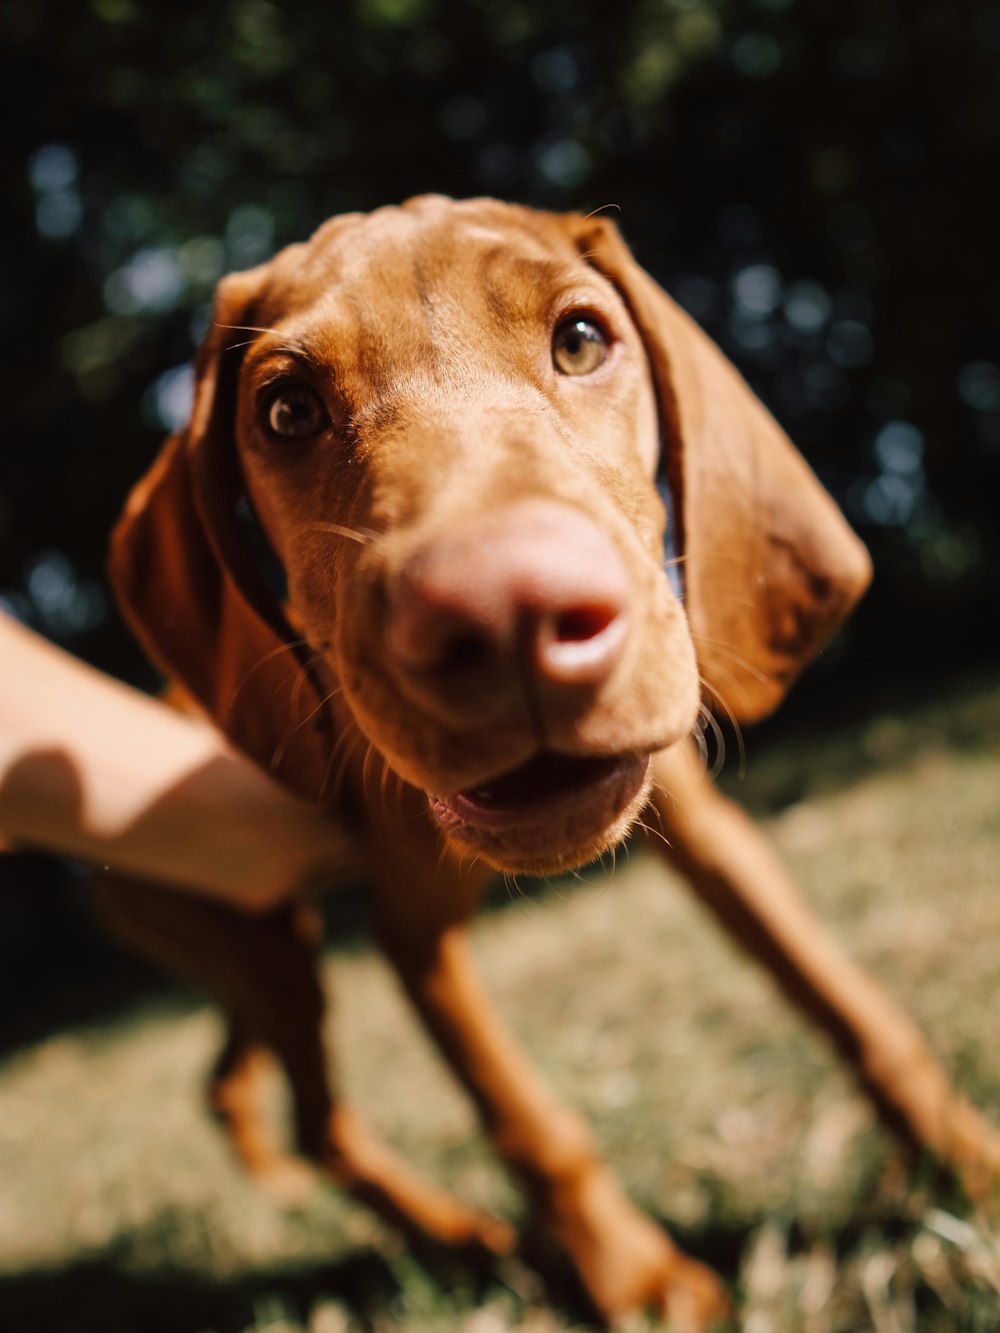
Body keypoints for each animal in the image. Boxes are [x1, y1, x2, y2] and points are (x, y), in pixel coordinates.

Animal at [104, 194, 1000, 1322]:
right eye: (287, 411)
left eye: (579, 338)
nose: (508, 613)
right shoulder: (413, 927)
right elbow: (527, 1119)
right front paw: (638, 1279)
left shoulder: (702, 822)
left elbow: (844, 1000)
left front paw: (965, 1164)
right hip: (249, 943)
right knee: (319, 1120)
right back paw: (466, 1246)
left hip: (261, 942)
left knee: (240, 1083)